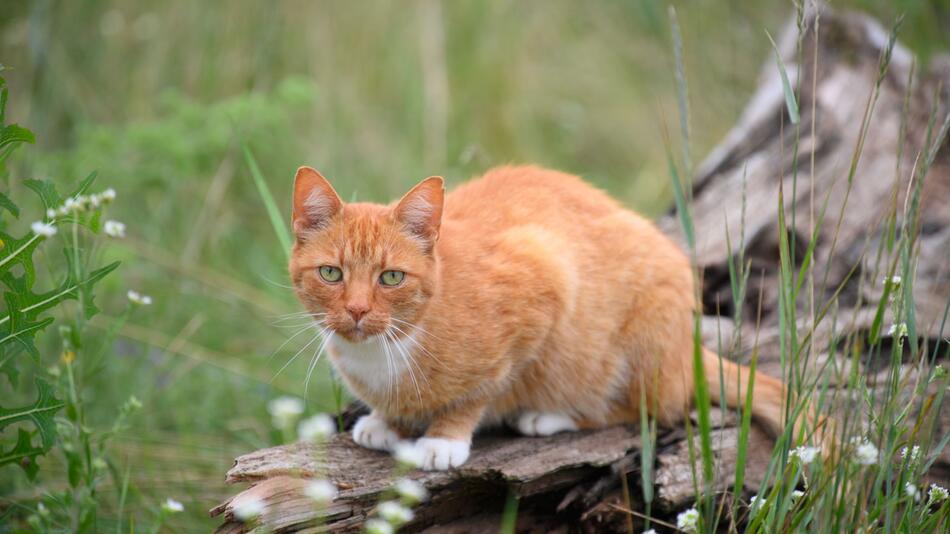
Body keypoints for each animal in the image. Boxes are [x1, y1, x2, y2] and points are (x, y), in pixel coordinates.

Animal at [288, 165, 804, 472]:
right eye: (331, 273)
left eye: (391, 277)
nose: (357, 310)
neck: (386, 349)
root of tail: (686, 349)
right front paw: (387, 420)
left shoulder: (544, 277)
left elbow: (481, 390)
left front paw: (444, 438)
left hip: (641, 343)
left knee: (646, 407)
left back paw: (550, 415)